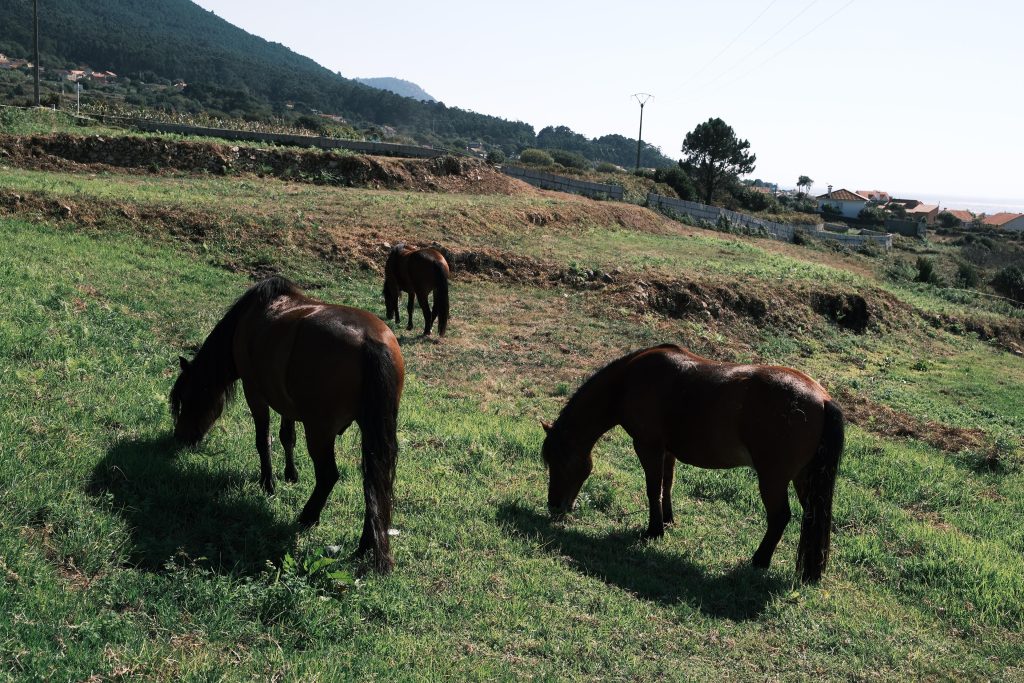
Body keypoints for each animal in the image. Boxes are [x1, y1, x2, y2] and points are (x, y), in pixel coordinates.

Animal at [170, 276, 405, 573]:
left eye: (187, 398)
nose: (180, 437)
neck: (249, 318)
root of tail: (370, 341)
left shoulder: (255, 393)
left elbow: (263, 440)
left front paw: (267, 483)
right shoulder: (287, 404)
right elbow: (286, 437)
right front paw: (290, 474)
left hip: (319, 431)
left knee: (329, 476)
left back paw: (308, 517)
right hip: (372, 433)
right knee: (374, 482)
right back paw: (366, 543)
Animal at [540, 344, 844, 583]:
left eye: (560, 462)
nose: (554, 506)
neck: (628, 380)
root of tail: (822, 399)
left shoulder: (647, 446)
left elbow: (653, 488)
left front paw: (653, 531)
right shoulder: (667, 451)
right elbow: (667, 485)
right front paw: (667, 520)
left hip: (773, 479)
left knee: (780, 517)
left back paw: (759, 560)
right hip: (804, 479)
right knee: (812, 517)